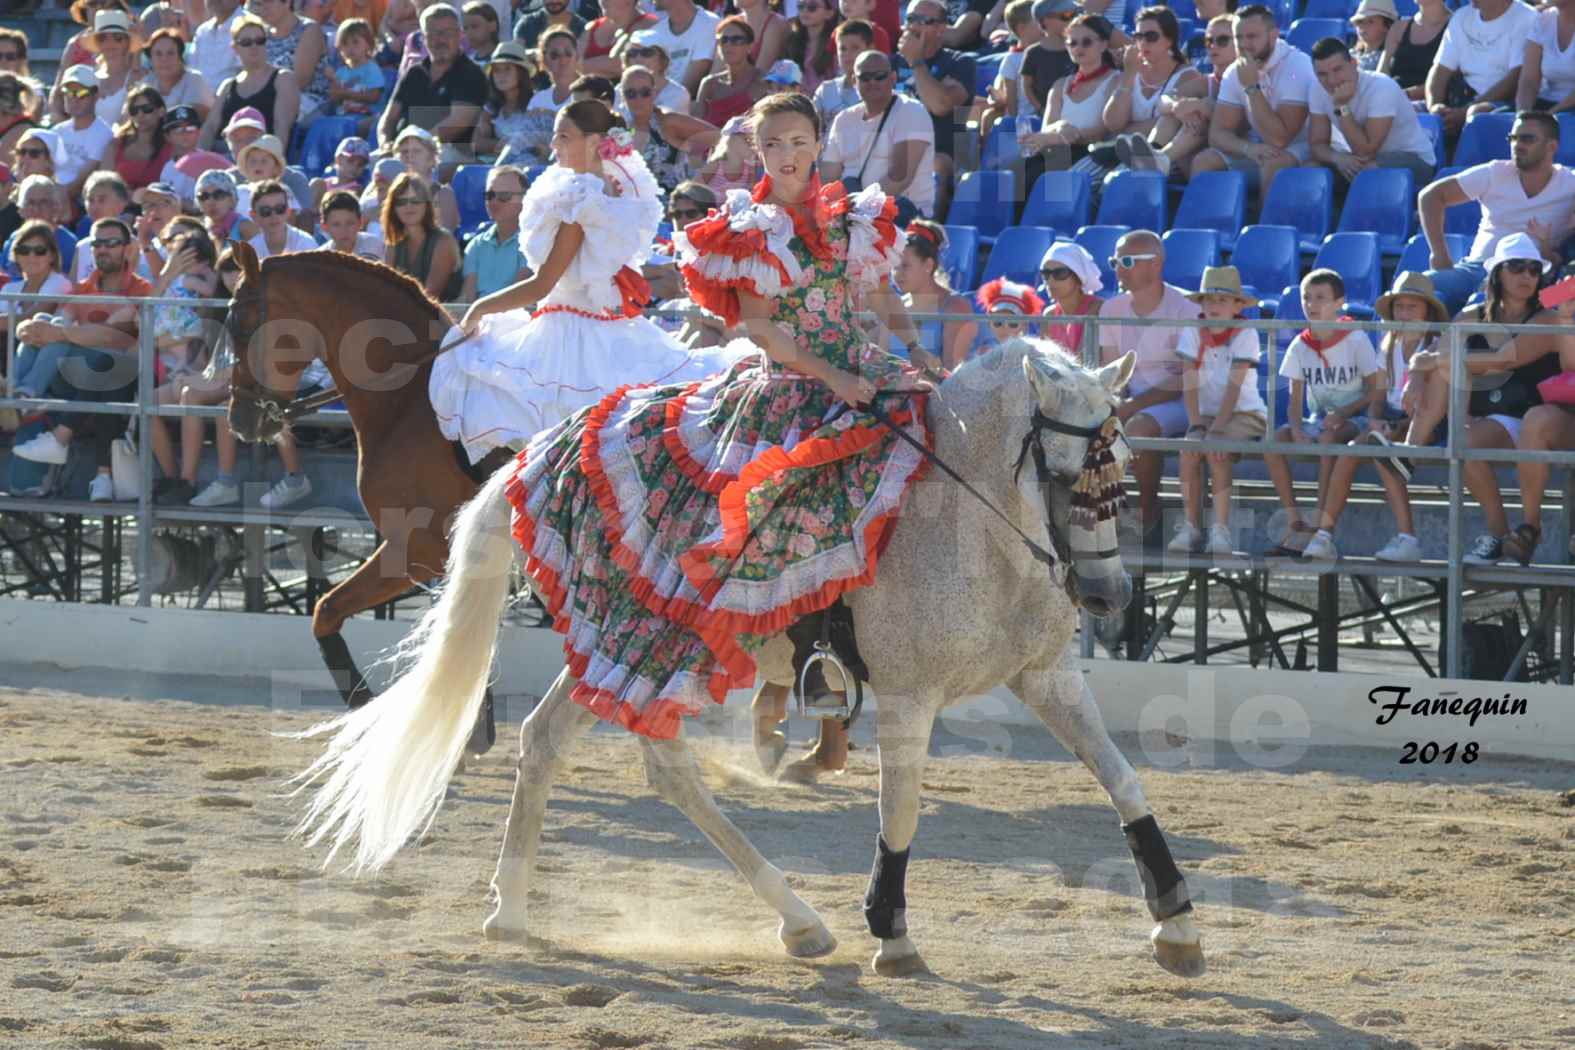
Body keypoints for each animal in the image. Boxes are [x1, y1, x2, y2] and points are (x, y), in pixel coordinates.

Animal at [223, 242, 497, 752]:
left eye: (241, 327)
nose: (240, 420)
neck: (410, 401)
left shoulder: (416, 549)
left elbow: (326, 610)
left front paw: (364, 708)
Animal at [296, 341, 1203, 982]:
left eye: (1122, 470)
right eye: (1064, 469)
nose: (1106, 596)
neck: (969, 524)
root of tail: (536, 454)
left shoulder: (1048, 679)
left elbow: (1126, 783)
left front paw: (1176, 923)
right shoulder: (909, 697)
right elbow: (900, 815)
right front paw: (892, 936)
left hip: (612, 645)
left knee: (551, 741)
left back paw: (515, 913)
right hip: (643, 640)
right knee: (655, 762)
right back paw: (800, 919)